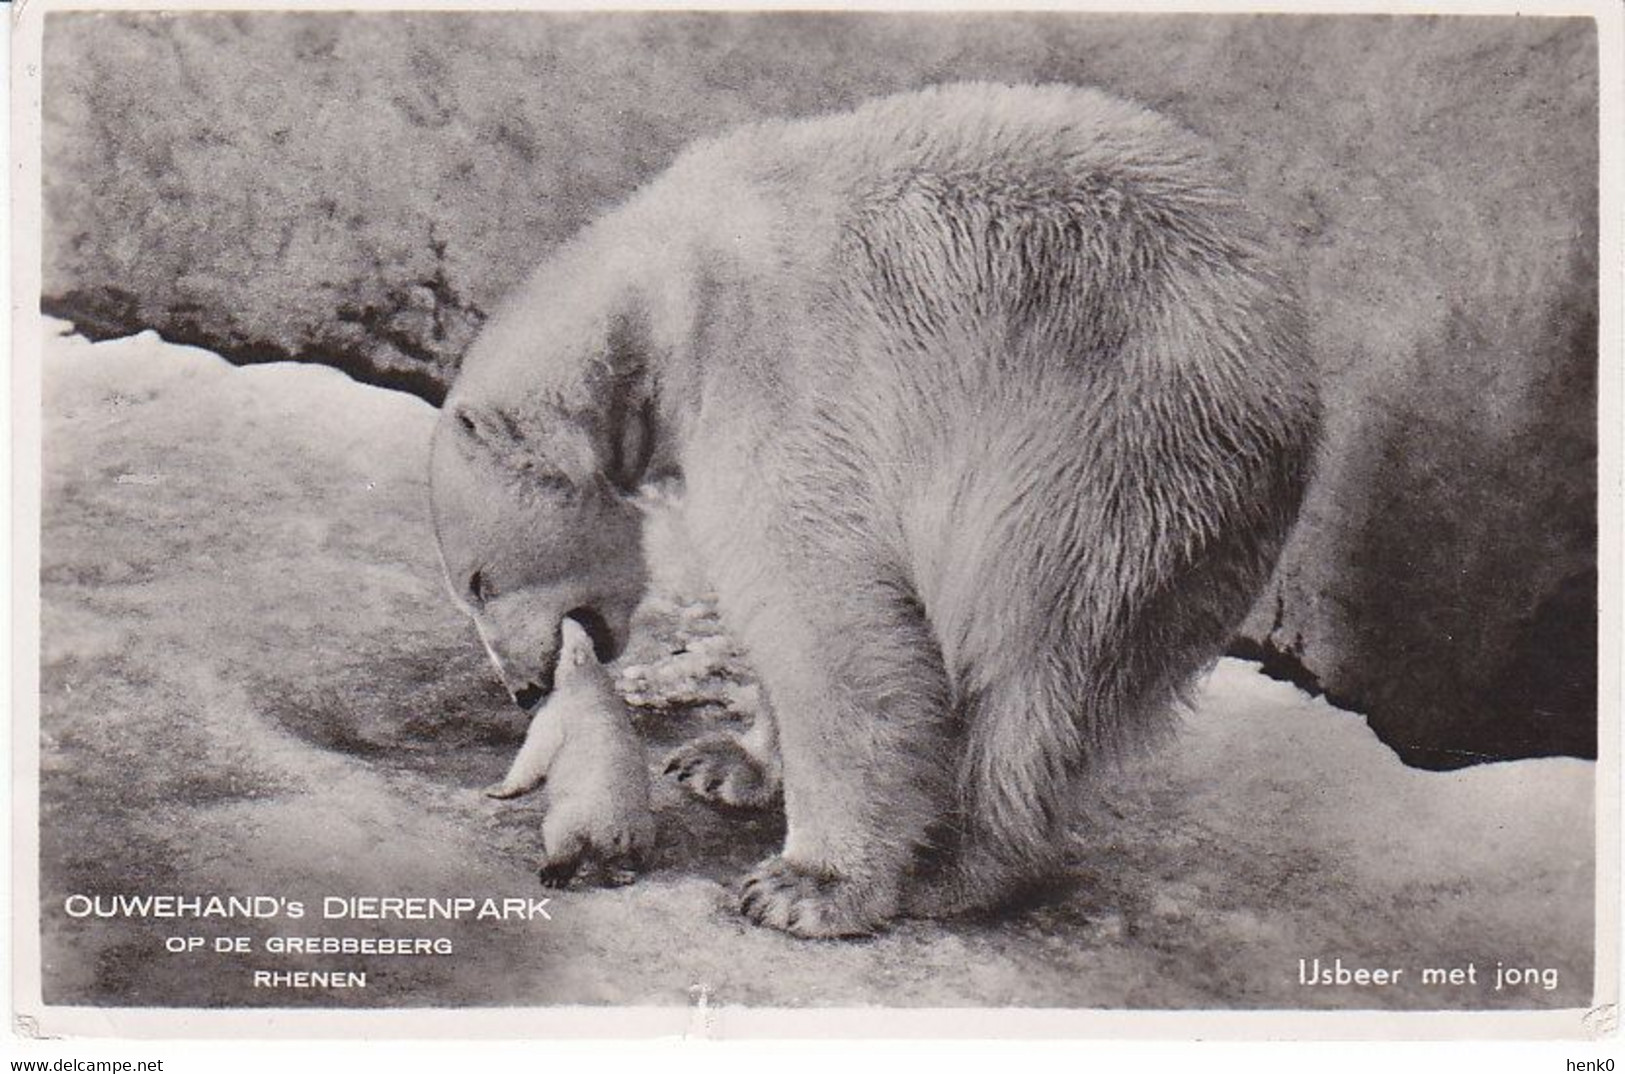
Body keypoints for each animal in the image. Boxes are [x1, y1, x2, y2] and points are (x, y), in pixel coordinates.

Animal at [432, 83, 1319, 935]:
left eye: (478, 581)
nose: (521, 689)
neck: (670, 290)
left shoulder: (780, 384)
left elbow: (822, 619)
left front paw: (809, 886)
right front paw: (724, 763)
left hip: (1105, 460)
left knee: (1034, 665)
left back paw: (953, 865)